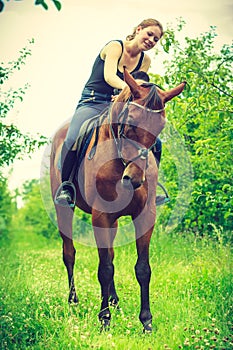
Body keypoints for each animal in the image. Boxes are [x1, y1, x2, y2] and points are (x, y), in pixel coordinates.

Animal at [49, 67, 186, 330]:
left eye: (160, 127)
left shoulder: (144, 216)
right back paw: (73, 300)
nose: (133, 179)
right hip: (66, 211)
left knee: (109, 253)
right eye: (129, 122)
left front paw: (146, 321)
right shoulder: (100, 216)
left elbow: (142, 268)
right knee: (69, 254)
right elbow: (104, 268)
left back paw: (114, 301)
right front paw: (104, 320)